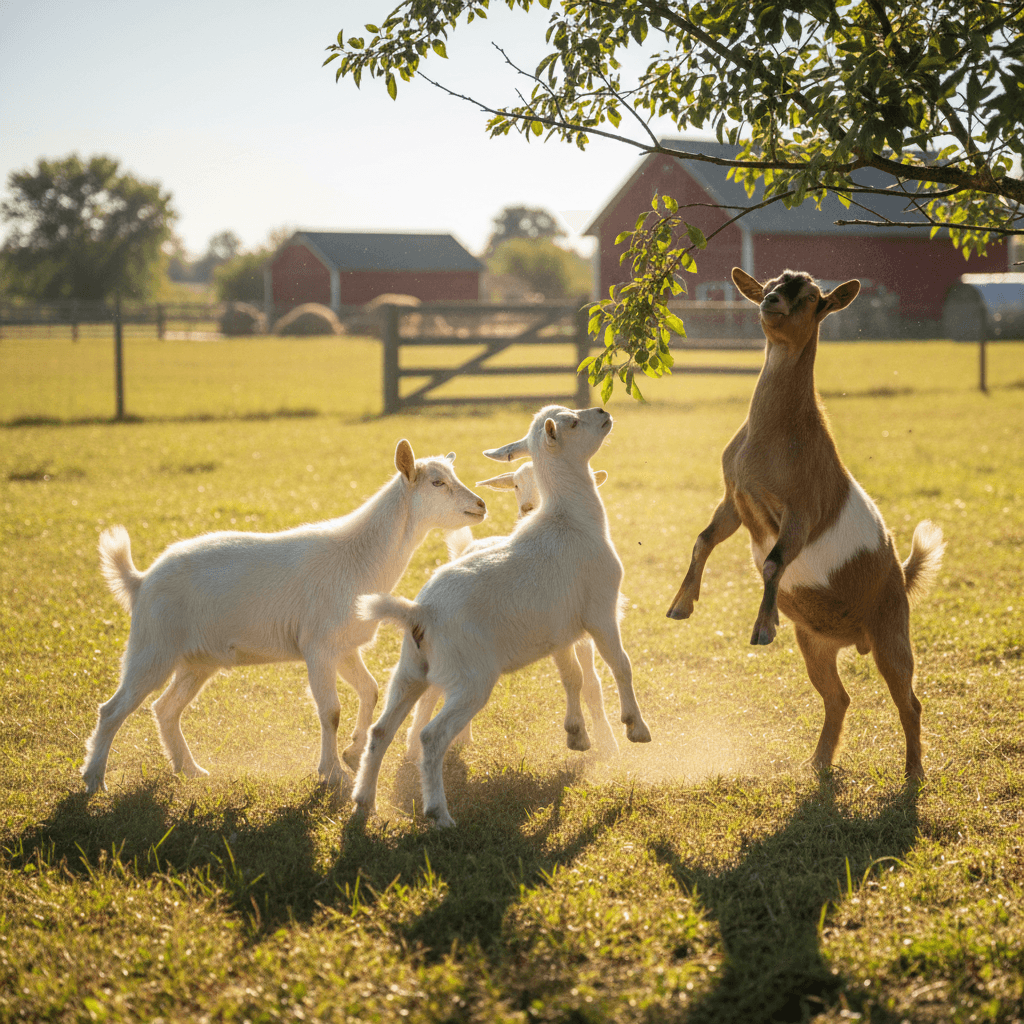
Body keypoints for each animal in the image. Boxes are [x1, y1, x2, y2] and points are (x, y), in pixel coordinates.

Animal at [81, 440, 486, 795]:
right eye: (437, 482)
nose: (480, 506)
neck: (358, 558)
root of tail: (140, 581)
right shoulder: (317, 646)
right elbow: (330, 710)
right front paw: (332, 773)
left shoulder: (344, 646)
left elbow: (369, 689)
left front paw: (352, 751)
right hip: (153, 646)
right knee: (112, 710)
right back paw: (94, 780)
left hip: (196, 662)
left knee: (165, 709)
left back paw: (189, 769)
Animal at [405, 462, 619, 762]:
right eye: (516, 485)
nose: (527, 508)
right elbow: (574, 677)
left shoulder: (583, 632)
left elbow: (592, 686)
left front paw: (608, 742)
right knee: (431, 694)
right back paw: (416, 748)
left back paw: (462, 739)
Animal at [666, 268, 944, 780]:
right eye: (771, 282)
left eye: (814, 298)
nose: (772, 301)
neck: (776, 435)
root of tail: (901, 575)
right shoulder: (734, 498)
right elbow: (703, 540)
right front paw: (682, 604)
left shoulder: (801, 511)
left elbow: (774, 563)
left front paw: (764, 626)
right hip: (815, 643)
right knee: (838, 698)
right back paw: (818, 764)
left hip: (892, 631)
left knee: (909, 702)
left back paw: (914, 773)